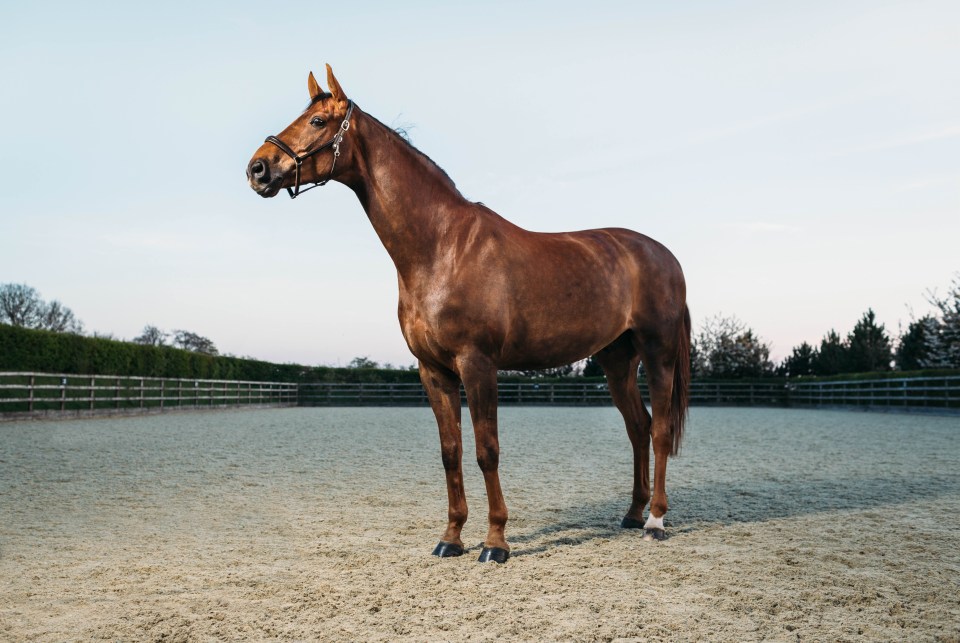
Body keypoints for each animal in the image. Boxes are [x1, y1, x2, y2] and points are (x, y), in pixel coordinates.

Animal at [248, 65, 688, 564]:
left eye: (318, 121)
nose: (258, 168)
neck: (441, 247)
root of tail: (663, 254)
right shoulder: (433, 371)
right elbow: (450, 452)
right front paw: (451, 538)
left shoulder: (478, 365)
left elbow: (486, 450)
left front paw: (495, 542)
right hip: (617, 361)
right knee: (638, 428)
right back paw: (632, 514)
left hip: (658, 353)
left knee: (660, 430)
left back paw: (655, 520)